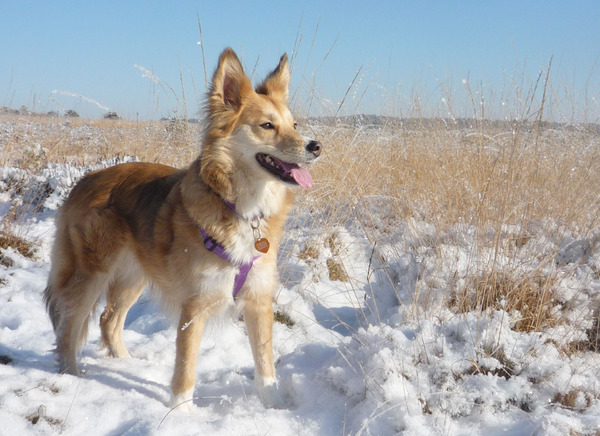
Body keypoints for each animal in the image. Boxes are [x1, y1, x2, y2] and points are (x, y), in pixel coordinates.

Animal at [44, 47, 322, 408]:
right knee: (68, 324)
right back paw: (71, 374)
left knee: (109, 319)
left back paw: (127, 364)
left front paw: (272, 406)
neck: (240, 208)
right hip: (92, 273)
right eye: (267, 125)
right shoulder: (196, 304)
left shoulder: (259, 301)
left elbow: (265, 364)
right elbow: (186, 365)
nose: (316, 146)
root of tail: (87, 178)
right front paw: (180, 411)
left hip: (134, 275)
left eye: (294, 124)